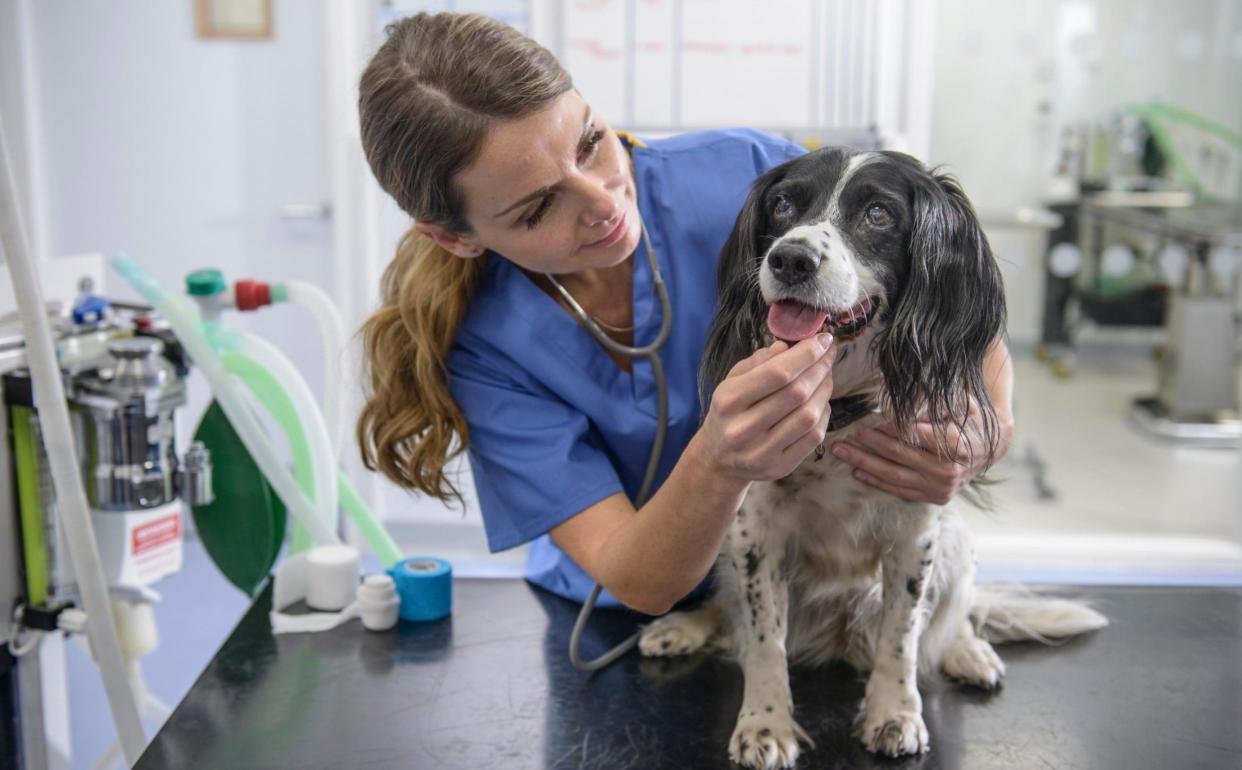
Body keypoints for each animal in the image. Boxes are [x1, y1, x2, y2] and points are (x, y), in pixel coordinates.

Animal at [640, 147, 1107, 765]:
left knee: (958, 615)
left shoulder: (917, 532)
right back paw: (686, 626)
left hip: (955, 541)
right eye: (783, 203)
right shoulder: (755, 531)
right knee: (730, 611)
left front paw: (894, 713)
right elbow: (763, 642)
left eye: (880, 214)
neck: (841, 409)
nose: (790, 259)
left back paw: (968, 652)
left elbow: (901, 638)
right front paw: (765, 724)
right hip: (726, 541)